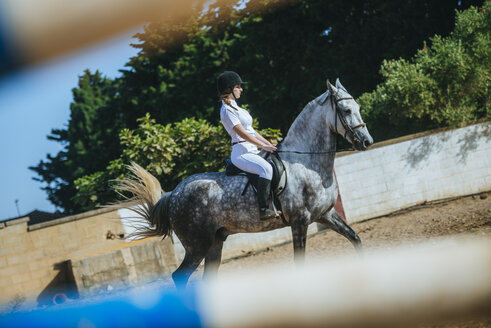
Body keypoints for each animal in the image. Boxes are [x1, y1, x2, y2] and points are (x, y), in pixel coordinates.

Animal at [117, 79, 374, 288]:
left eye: (358, 108)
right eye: (346, 110)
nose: (366, 142)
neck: (306, 163)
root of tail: (173, 194)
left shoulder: (326, 214)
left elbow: (355, 239)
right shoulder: (299, 222)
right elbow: (299, 263)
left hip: (215, 242)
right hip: (197, 245)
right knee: (179, 276)